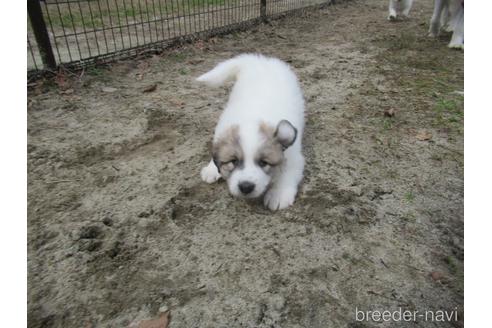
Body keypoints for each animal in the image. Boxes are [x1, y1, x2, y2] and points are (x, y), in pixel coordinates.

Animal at [196, 53, 304, 210]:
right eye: (233, 161)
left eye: (264, 162)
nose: (246, 187)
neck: (253, 117)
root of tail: (261, 60)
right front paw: (212, 168)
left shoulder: (295, 156)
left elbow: (288, 172)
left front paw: (278, 194)